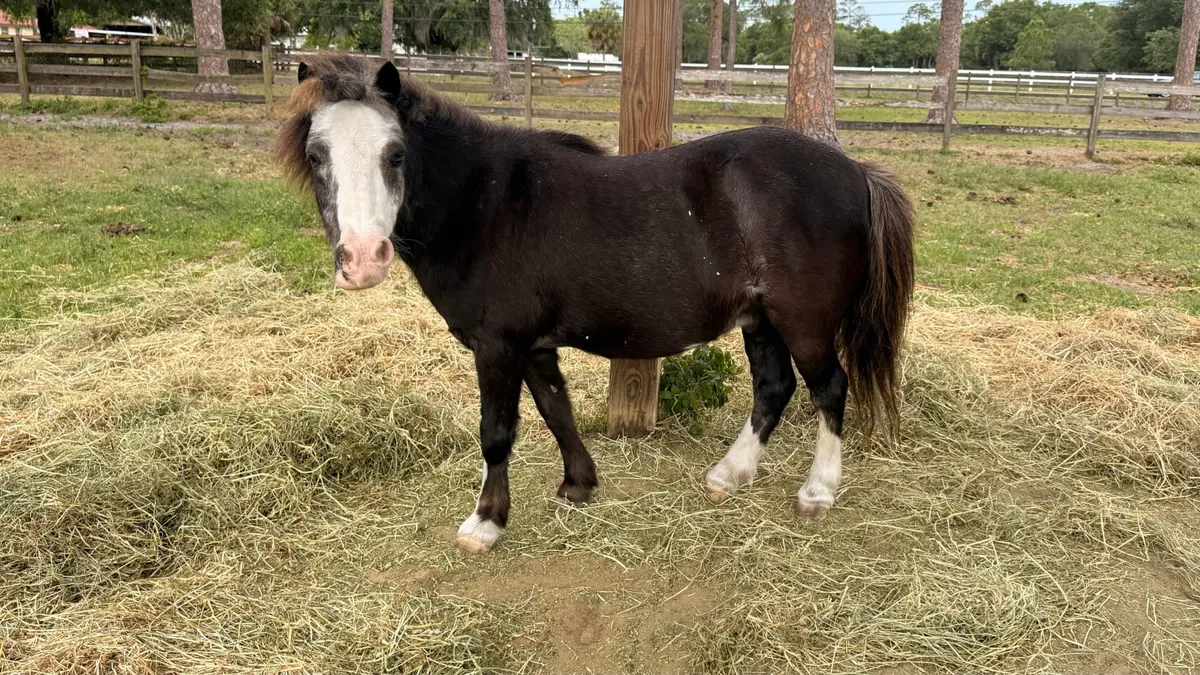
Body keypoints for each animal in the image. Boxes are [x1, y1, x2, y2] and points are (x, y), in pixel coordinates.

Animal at [276, 55, 915, 554]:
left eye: (396, 155)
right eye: (317, 155)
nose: (363, 259)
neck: (485, 204)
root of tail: (854, 170)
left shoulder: (497, 346)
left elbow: (497, 432)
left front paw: (486, 522)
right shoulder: (532, 346)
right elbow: (555, 409)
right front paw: (578, 485)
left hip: (804, 323)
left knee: (829, 389)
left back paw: (817, 492)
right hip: (760, 321)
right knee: (773, 388)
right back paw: (729, 475)